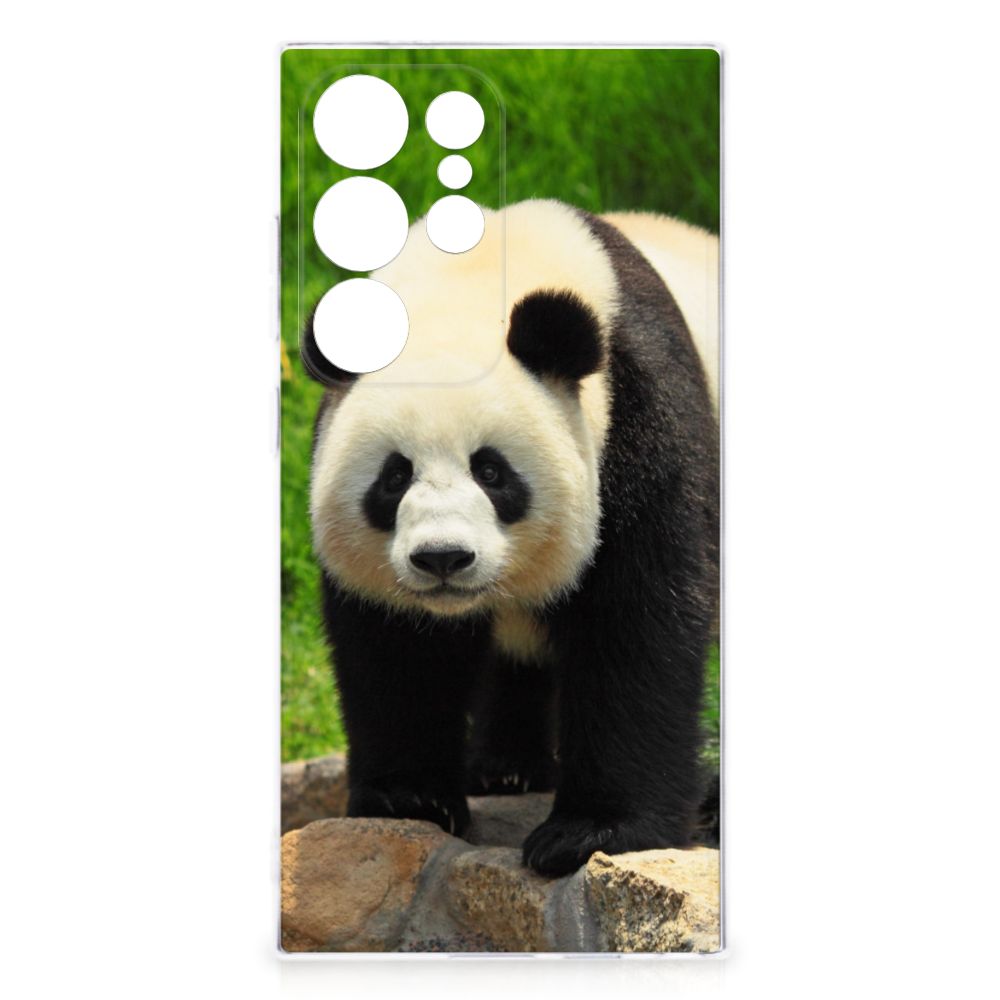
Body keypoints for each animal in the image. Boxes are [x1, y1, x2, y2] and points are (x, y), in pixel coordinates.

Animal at [304, 199, 719, 877]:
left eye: (492, 471)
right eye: (394, 477)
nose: (443, 558)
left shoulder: (640, 419)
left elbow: (637, 623)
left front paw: (591, 832)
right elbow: (397, 649)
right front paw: (409, 798)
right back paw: (505, 769)